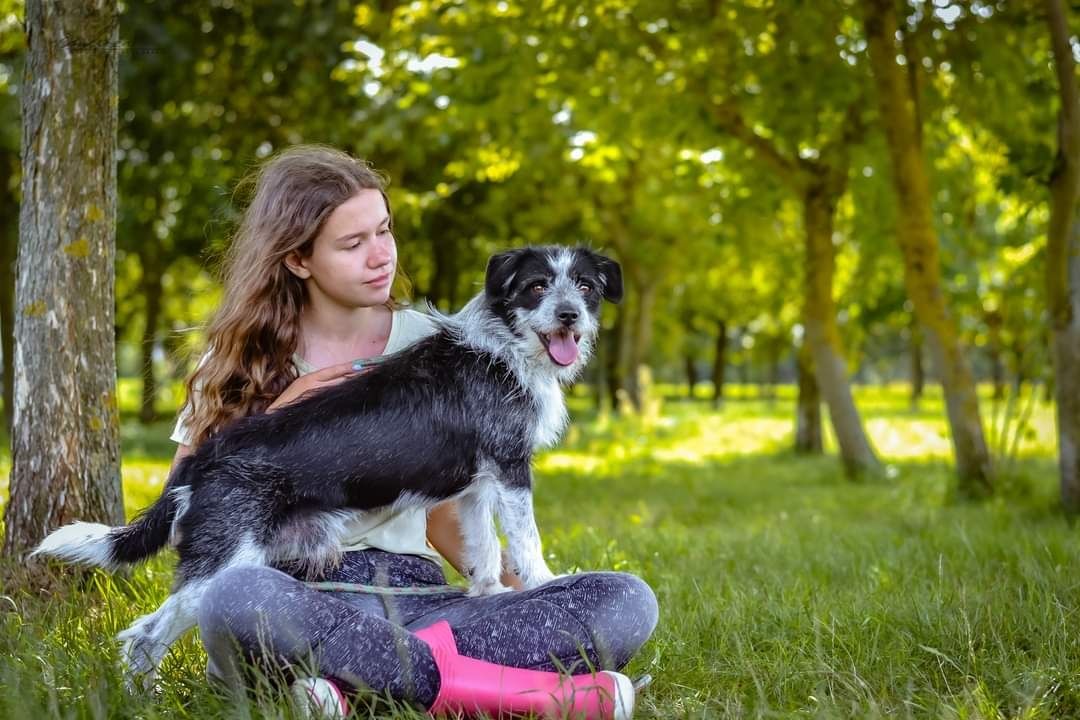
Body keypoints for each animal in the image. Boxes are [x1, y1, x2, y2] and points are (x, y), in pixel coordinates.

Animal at [31, 246, 626, 686]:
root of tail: (198, 462)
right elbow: (525, 540)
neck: (503, 349)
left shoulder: (477, 487)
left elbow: (483, 547)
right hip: (222, 562)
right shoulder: (509, 468)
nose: (570, 316)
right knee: (145, 636)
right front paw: (542, 583)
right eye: (536, 286)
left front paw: (493, 594)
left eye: (586, 287)